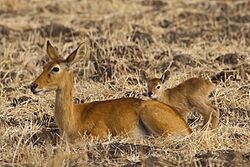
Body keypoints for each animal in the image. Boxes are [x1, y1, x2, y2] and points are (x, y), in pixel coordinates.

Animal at [30, 41, 191, 142]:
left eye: (55, 68)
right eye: (44, 66)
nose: (33, 85)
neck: (74, 117)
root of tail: (186, 126)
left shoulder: (99, 133)